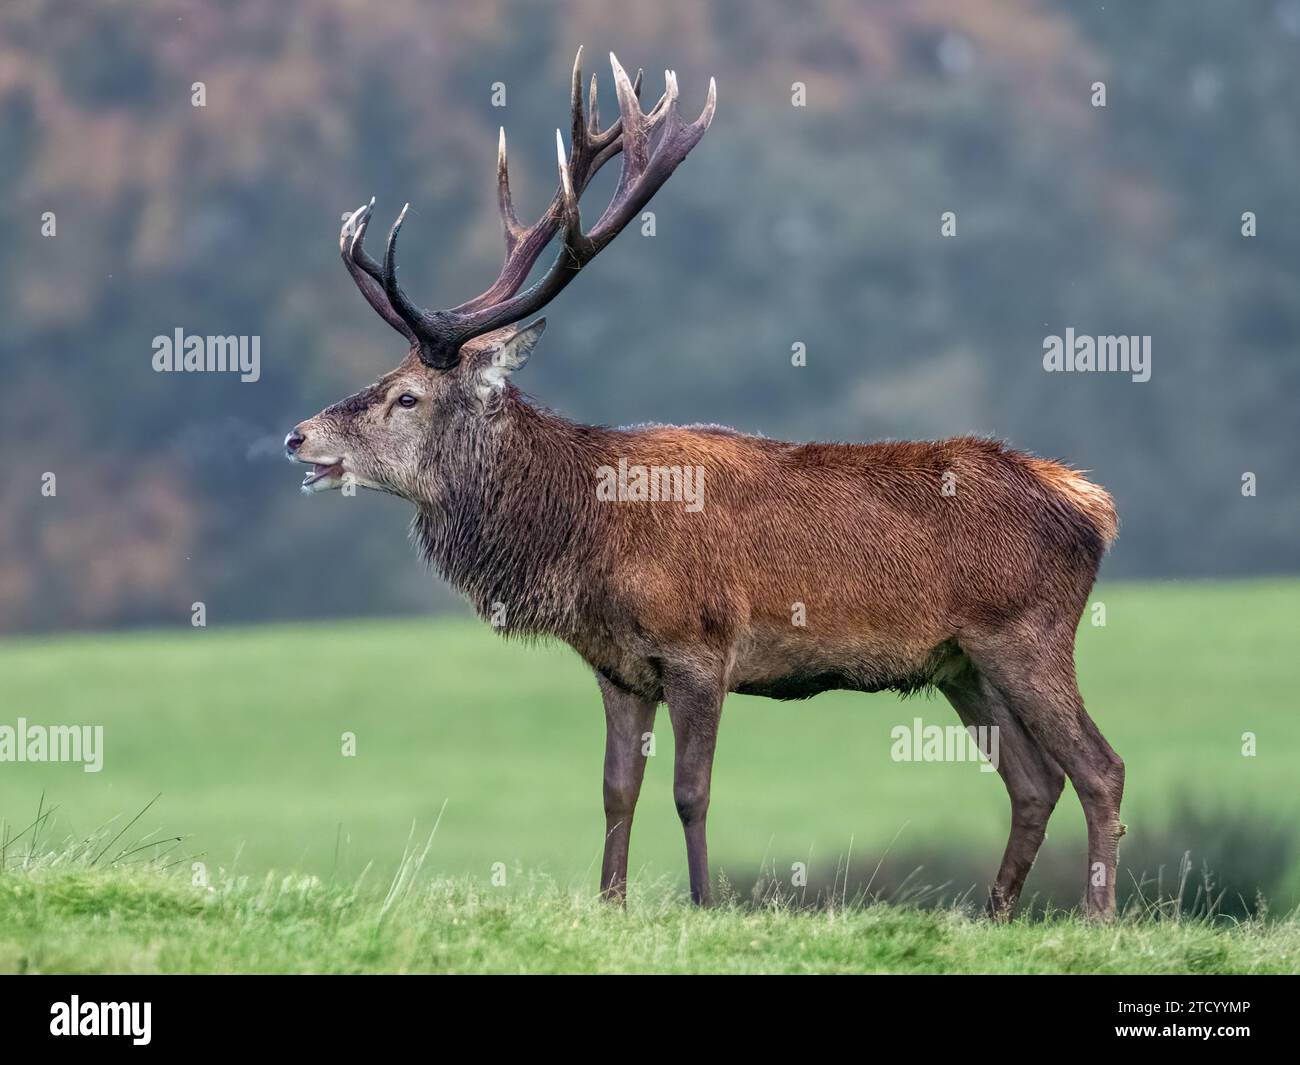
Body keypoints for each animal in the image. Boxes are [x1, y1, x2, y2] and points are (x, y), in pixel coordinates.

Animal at [285, 50, 1125, 920]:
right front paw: (611, 904)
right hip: (962, 663)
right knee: (1034, 781)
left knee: (1100, 767)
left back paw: (1096, 917)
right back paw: (994, 915)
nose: (298, 435)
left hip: (1027, 632)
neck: (586, 533)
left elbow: (692, 792)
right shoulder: (618, 667)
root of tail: (1091, 502)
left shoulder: (701, 646)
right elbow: (616, 789)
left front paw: (702, 902)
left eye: (406, 396)